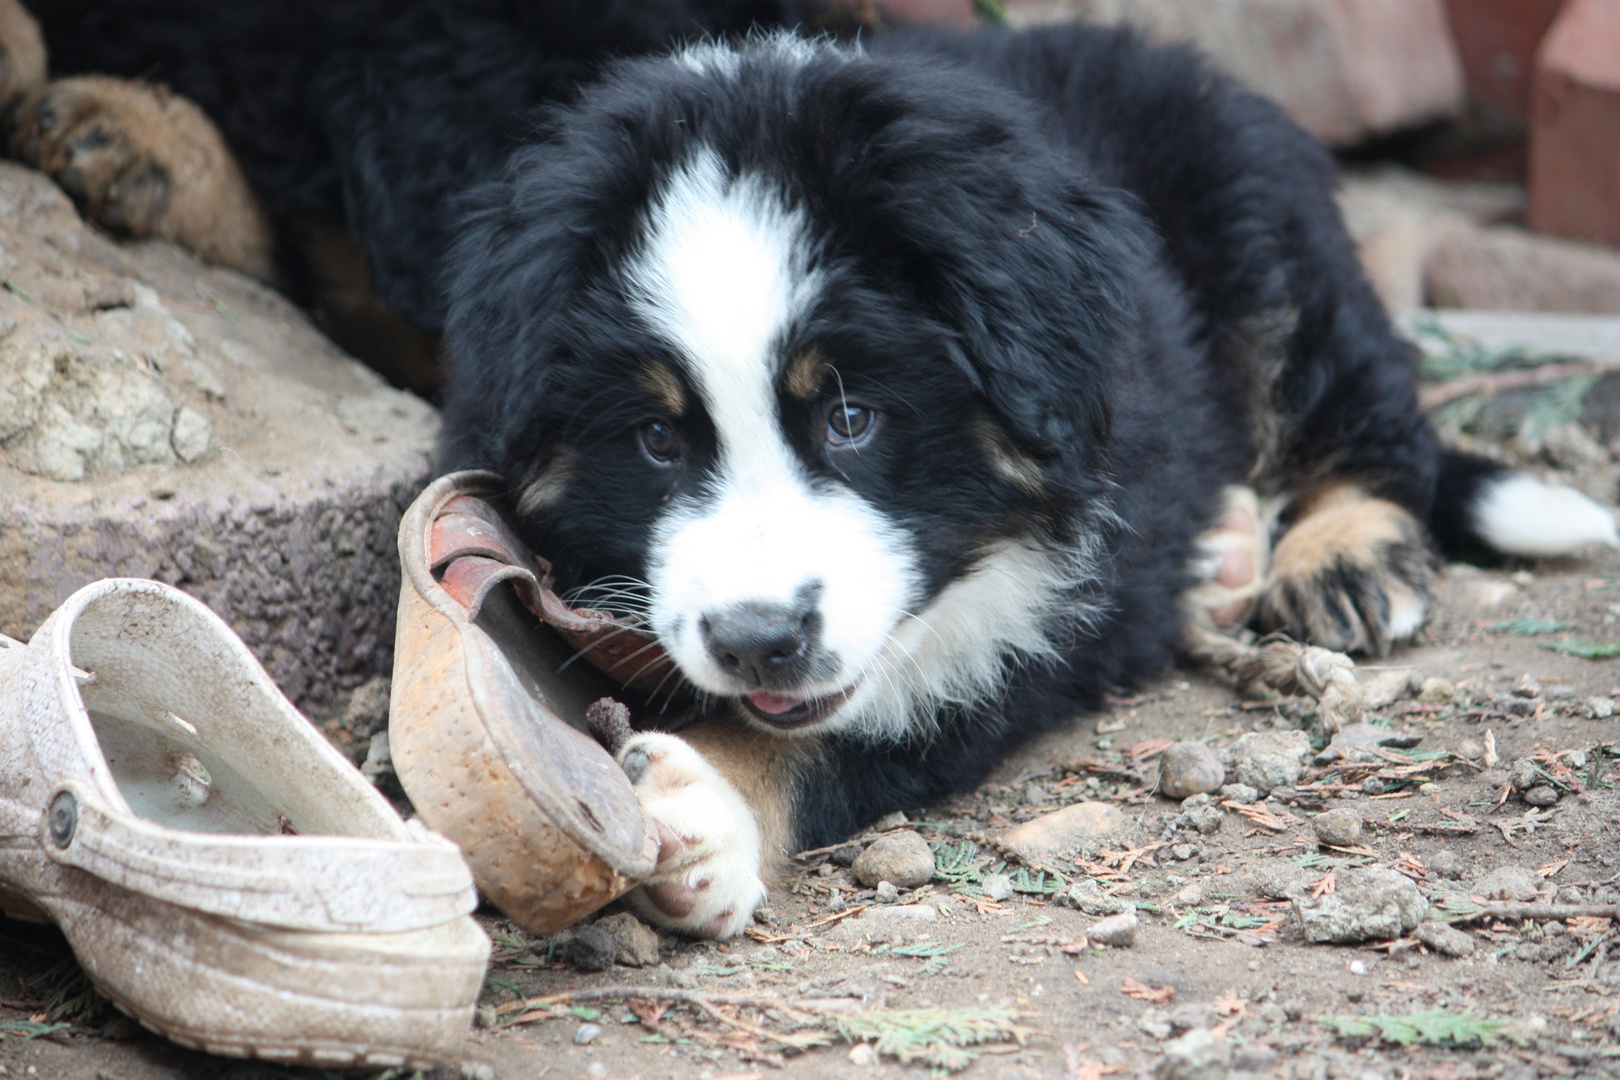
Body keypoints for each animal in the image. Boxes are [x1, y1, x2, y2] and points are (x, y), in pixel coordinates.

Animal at [6, 2, 1613, 939]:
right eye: (659, 439)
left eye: (850, 417)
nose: (758, 637)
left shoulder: (1044, 603)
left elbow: (861, 723)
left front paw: (708, 814)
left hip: (1263, 212)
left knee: (1364, 400)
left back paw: (1338, 556)